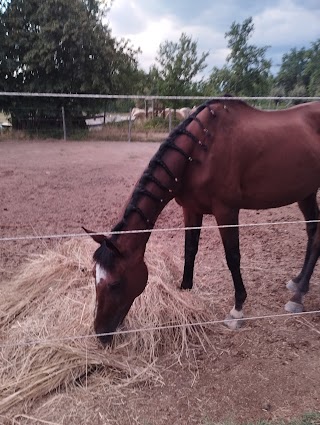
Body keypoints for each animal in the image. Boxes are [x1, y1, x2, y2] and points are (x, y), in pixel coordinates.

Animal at [84, 98, 320, 344]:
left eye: (115, 283)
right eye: (93, 276)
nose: (101, 333)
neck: (199, 150)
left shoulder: (226, 211)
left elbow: (232, 257)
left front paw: (237, 310)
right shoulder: (191, 209)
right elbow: (190, 249)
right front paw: (185, 289)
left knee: (316, 239)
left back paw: (298, 297)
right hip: (306, 193)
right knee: (313, 231)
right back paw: (298, 282)